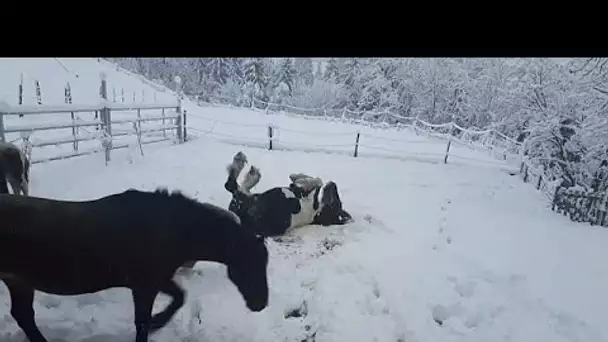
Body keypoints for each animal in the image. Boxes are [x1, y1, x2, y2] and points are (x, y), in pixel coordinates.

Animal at [0, 187, 268, 342]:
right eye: (249, 264)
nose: (260, 303)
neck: (172, 228)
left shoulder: (156, 280)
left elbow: (179, 297)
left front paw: (157, 322)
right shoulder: (144, 286)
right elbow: (143, 321)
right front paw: (154, 324)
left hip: (19, 282)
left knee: (24, 316)